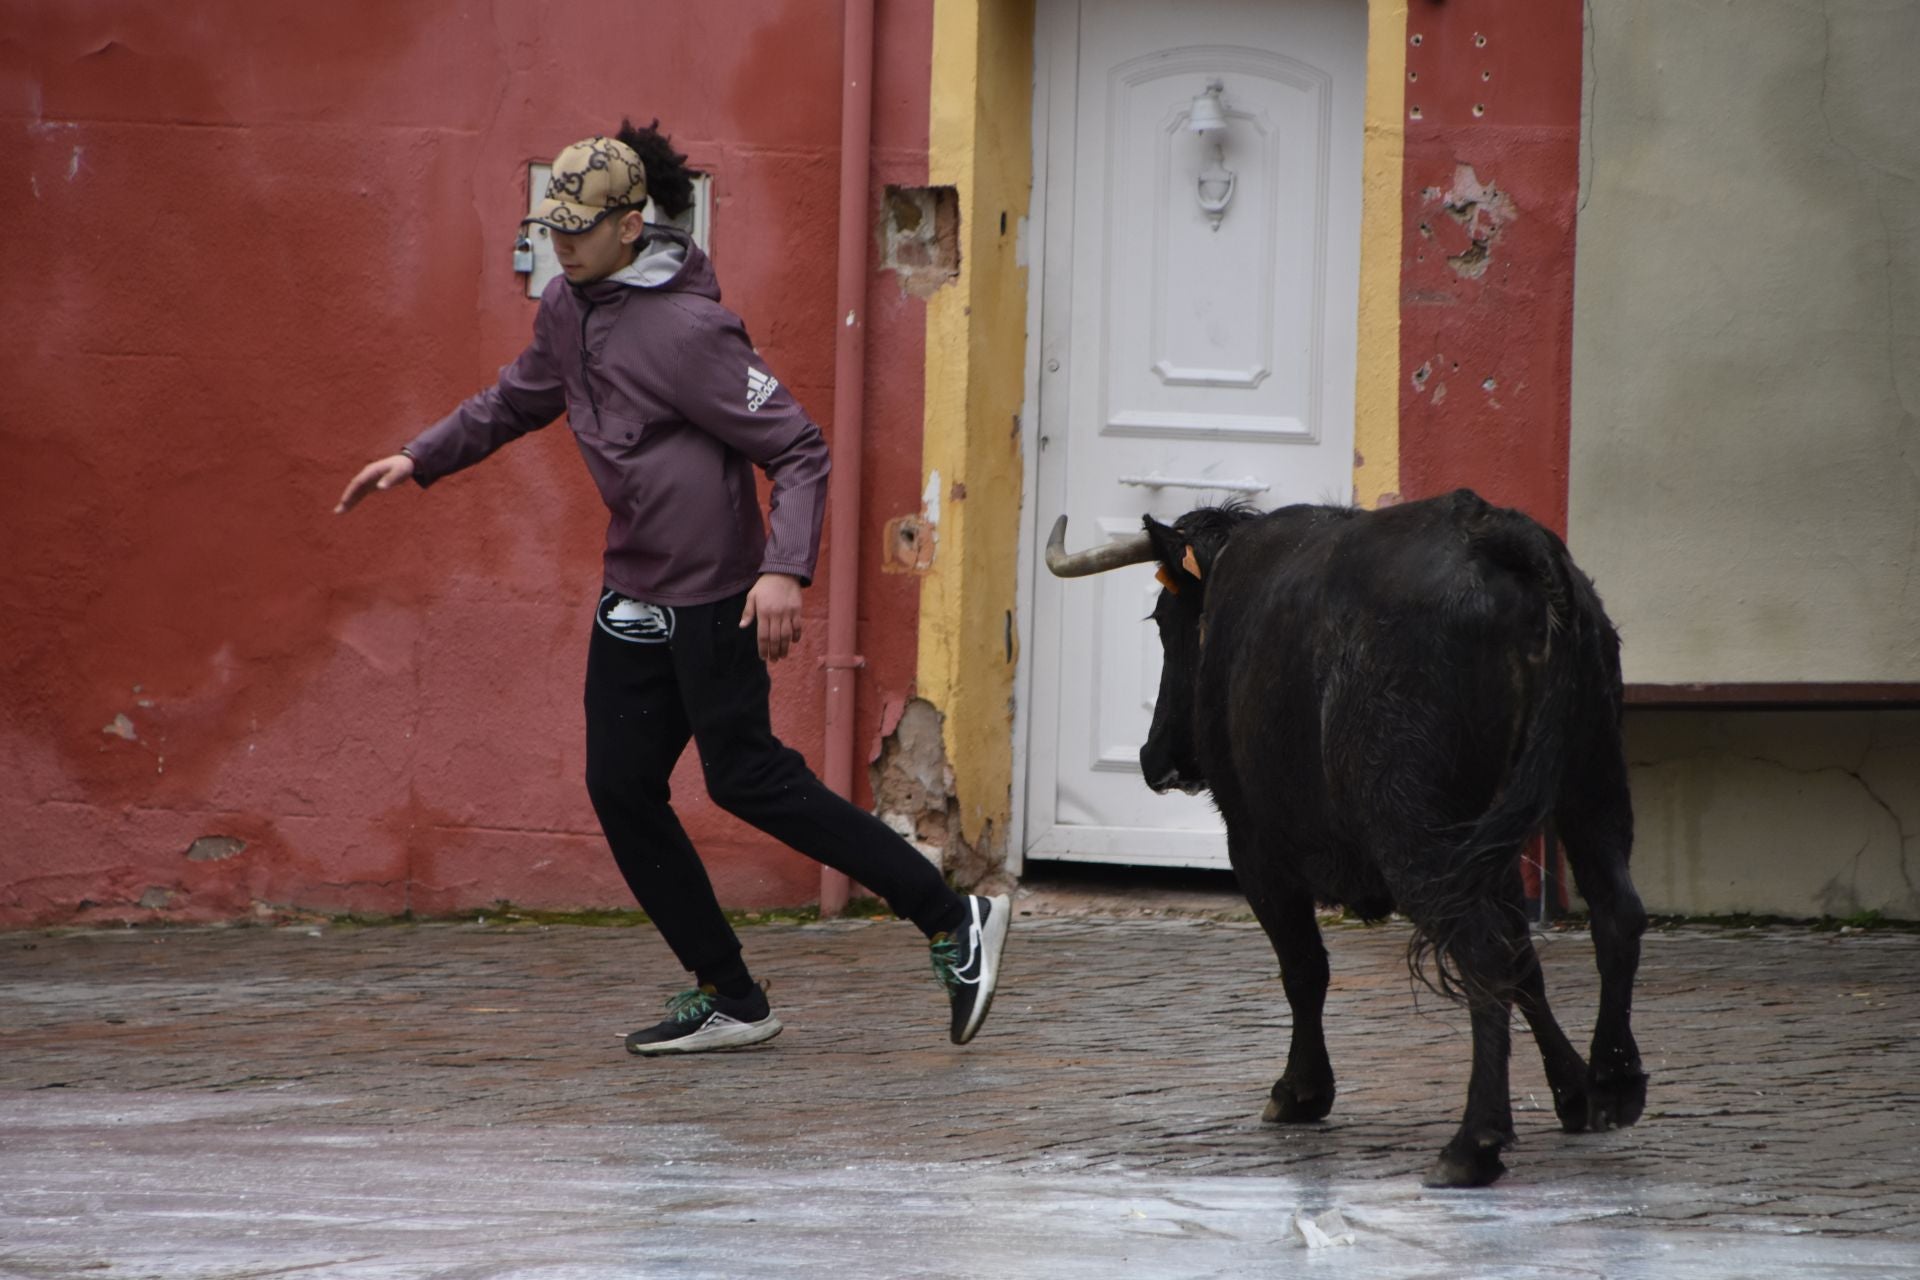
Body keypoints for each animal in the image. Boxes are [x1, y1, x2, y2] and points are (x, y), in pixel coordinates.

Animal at [1052, 491, 1651, 1189]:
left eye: (1165, 618)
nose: (1155, 758)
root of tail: (1490, 532)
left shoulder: (1254, 843)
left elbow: (1303, 966)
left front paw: (1301, 1090)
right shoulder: (1489, 847)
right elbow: (1528, 967)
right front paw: (1574, 1091)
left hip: (1414, 826)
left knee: (1482, 949)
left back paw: (1472, 1143)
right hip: (1590, 779)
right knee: (1613, 915)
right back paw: (1615, 1079)